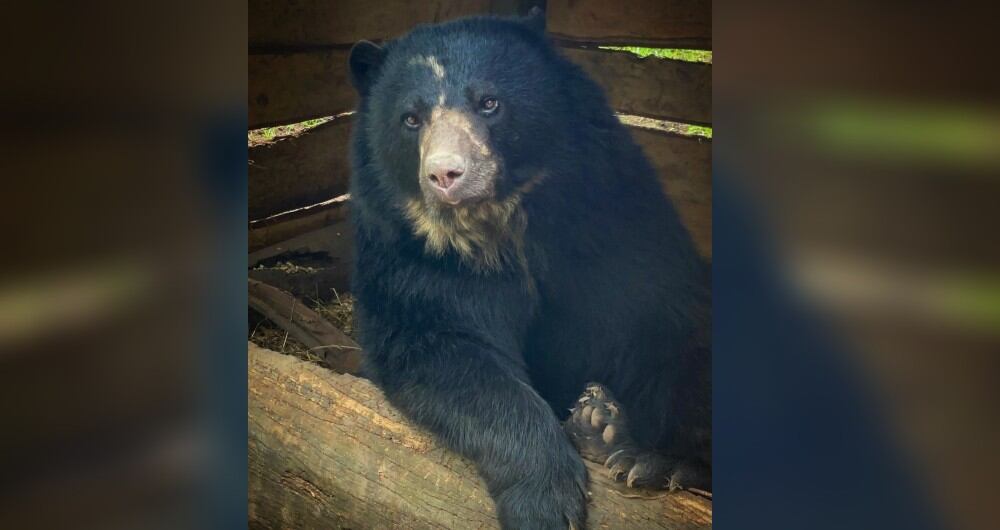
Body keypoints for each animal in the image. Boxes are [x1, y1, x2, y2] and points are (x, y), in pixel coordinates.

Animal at [347, 9, 710, 530]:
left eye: (489, 103)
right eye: (411, 119)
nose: (445, 176)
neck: (500, 228)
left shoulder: (613, 221)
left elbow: (666, 325)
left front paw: (652, 457)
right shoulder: (412, 258)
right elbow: (439, 349)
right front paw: (545, 499)